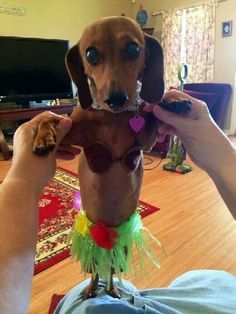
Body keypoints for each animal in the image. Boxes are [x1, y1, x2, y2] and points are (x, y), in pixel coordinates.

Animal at [32, 16, 164, 296]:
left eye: (133, 49)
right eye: (90, 54)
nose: (116, 99)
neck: (112, 118)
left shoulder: (145, 142)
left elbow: (153, 115)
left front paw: (173, 101)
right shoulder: (74, 132)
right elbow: (51, 118)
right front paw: (42, 136)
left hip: (120, 252)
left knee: (110, 272)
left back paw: (113, 290)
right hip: (92, 255)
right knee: (95, 272)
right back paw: (91, 290)